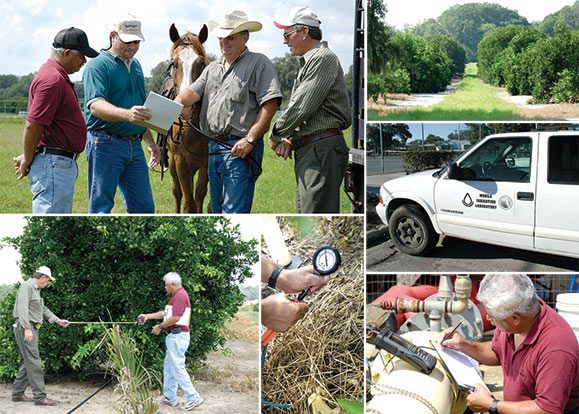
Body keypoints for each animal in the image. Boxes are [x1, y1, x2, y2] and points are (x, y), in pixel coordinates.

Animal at [161, 23, 211, 212]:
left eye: (202, 63)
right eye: (174, 63)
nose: (187, 106)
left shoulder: (207, 163)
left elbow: (200, 195)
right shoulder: (180, 162)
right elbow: (188, 202)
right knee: (177, 192)